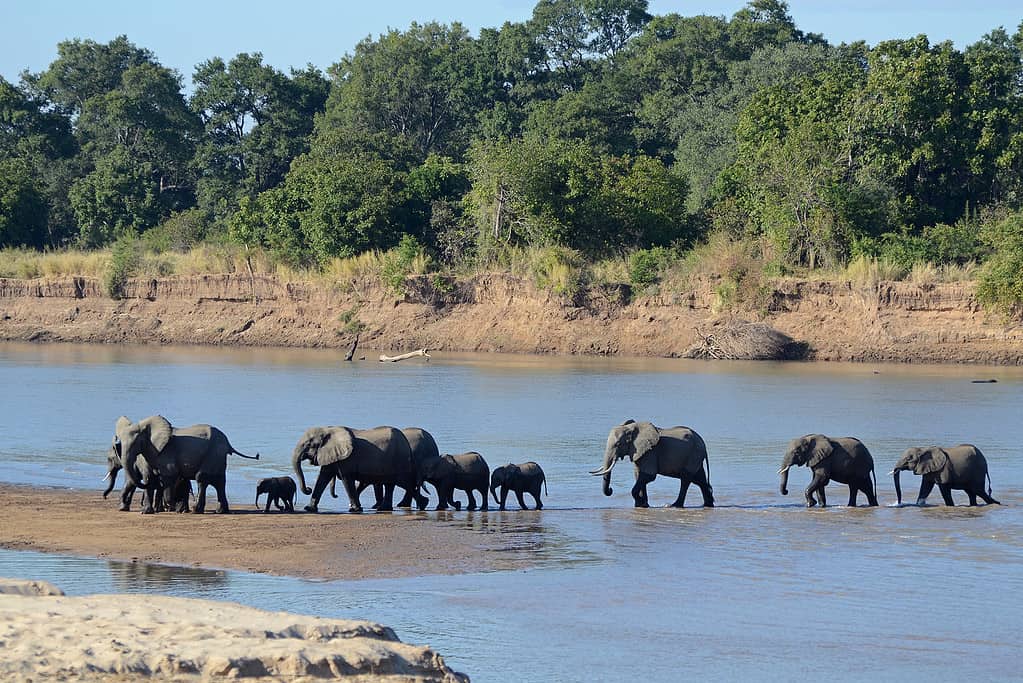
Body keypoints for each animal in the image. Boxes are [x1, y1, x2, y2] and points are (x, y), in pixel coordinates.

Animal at [114, 413, 259, 515]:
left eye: (136, 443)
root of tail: (228, 443)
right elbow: (149, 477)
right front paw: (145, 512)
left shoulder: (166, 452)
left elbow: (169, 475)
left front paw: (170, 507)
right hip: (218, 457)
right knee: (220, 482)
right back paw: (221, 511)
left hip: (213, 454)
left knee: (202, 478)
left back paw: (195, 510)